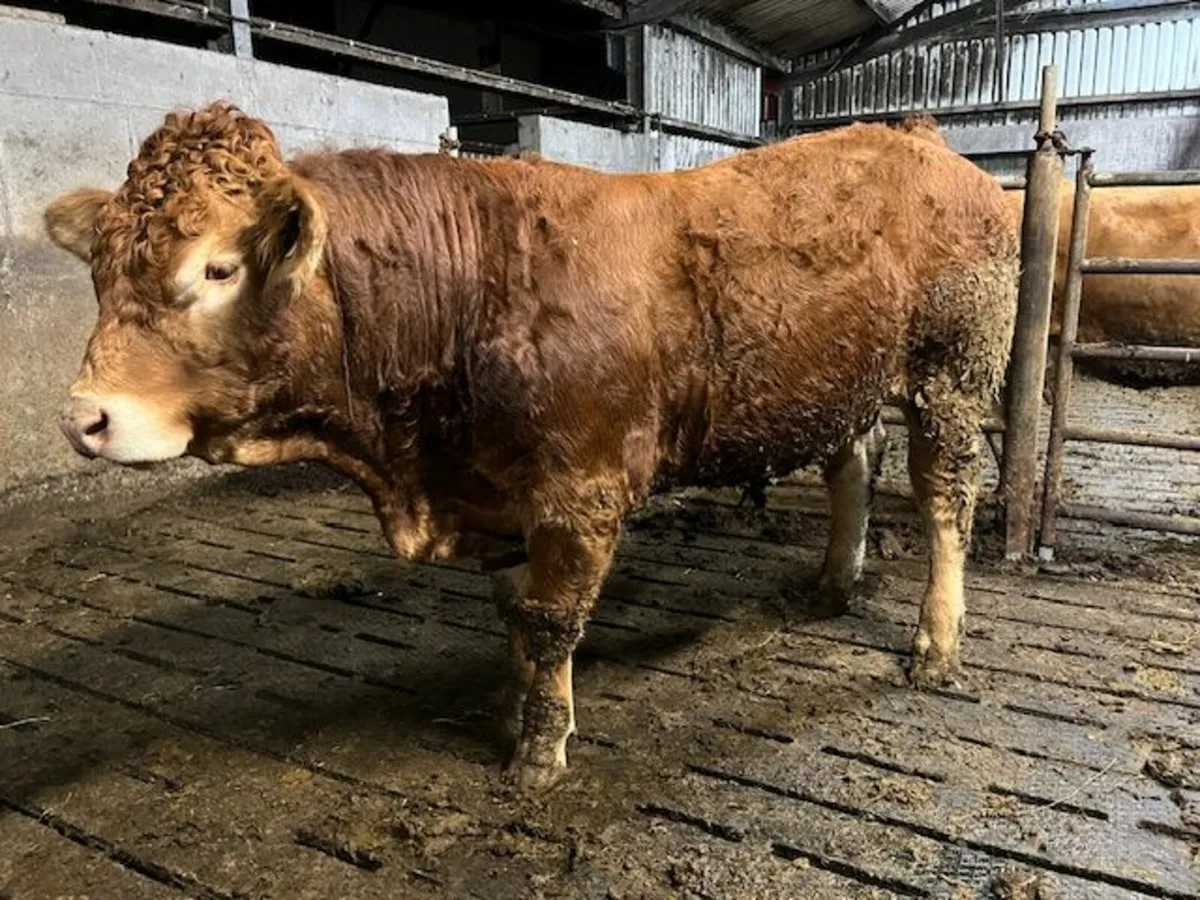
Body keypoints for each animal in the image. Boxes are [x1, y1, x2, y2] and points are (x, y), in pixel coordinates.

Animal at [45, 103, 1017, 789]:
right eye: (100, 270)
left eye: (217, 268)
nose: (84, 417)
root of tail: (920, 141)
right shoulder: (500, 491)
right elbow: (515, 616)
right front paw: (511, 708)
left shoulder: (579, 492)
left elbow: (551, 623)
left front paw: (538, 754)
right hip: (847, 382)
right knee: (855, 465)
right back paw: (833, 582)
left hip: (954, 374)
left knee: (945, 500)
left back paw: (936, 642)